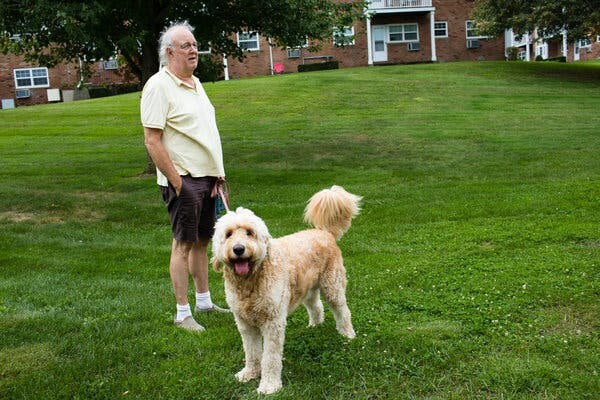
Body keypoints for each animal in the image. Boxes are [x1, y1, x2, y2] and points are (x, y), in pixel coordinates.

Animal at [211, 185, 360, 394]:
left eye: (249, 232)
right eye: (229, 234)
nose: (238, 249)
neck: (251, 282)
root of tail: (324, 232)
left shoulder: (272, 322)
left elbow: (270, 358)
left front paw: (269, 385)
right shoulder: (245, 324)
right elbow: (252, 352)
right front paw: (249, 373)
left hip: (333, 286)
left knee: (342, 311)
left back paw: (347, 334)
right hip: (308, 288)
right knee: (316, 306)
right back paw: (315, 325)